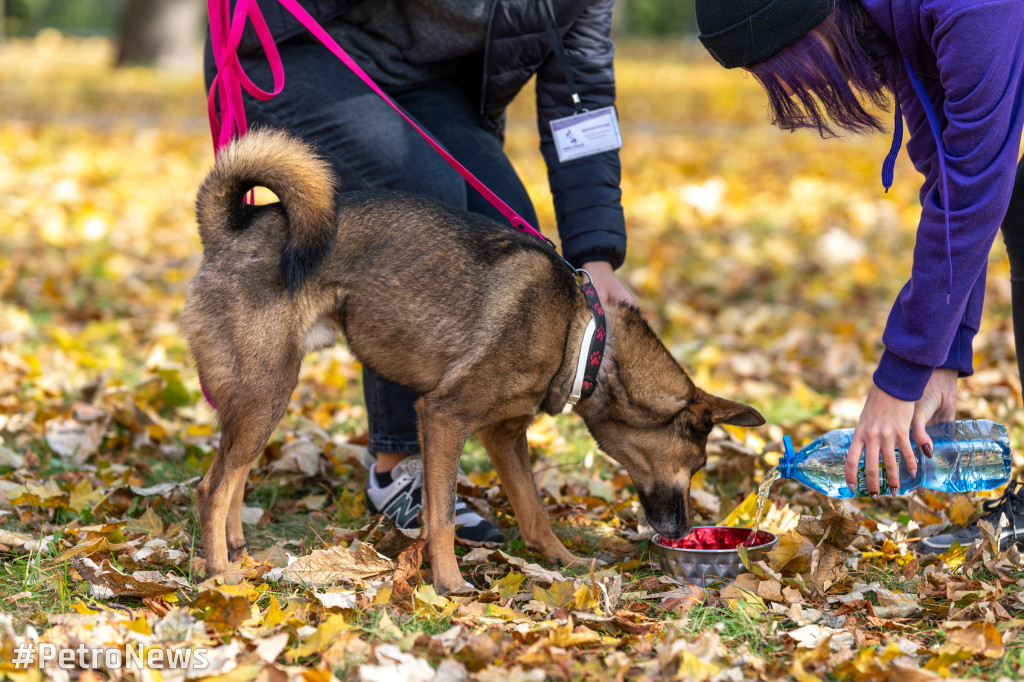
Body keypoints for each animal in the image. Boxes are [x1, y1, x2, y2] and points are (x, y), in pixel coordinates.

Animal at [184, 127, 765, 589]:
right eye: (697, 465)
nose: (686, 531)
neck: (584, 337)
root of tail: (230, 230)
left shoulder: (504, 436)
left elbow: (534, 511)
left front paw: (565, 560)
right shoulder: (443, 418)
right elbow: (440, 516)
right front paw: (448, 584)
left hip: (259, 399)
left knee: (234, 477)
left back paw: (239, 552)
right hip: (267, 390)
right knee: (213, 486)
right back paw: (220, 573)